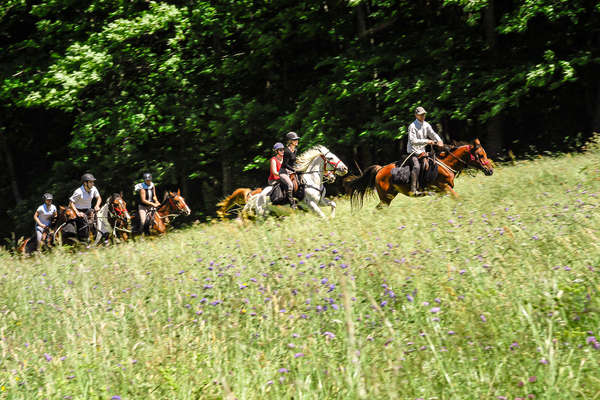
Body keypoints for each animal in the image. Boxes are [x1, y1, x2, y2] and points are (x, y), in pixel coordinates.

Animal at [350, 139, 494, 209]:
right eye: (480, 155)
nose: (490, 170)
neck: (445, 165)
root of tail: (380, 169)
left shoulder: (440, 192)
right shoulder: (445, 187)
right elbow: (459, 199)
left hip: (389, 197)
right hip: (386, 197)